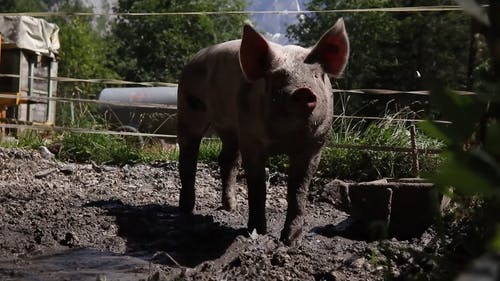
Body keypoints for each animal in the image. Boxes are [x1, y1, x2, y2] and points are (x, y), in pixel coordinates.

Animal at [178, 18, 350, 244]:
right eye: (278, 77)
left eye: (315, 75)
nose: (303, 91)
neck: (287, 137)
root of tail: (193, 59)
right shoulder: (252, 139)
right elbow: (257, 186)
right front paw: (257, 231)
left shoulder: (315, 145)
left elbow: (299, 189)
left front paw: (291, 240)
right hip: (188, 107)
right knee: (188, 156)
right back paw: (186, 210)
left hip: (230, 128)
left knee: (227, 159)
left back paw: (230, 207)